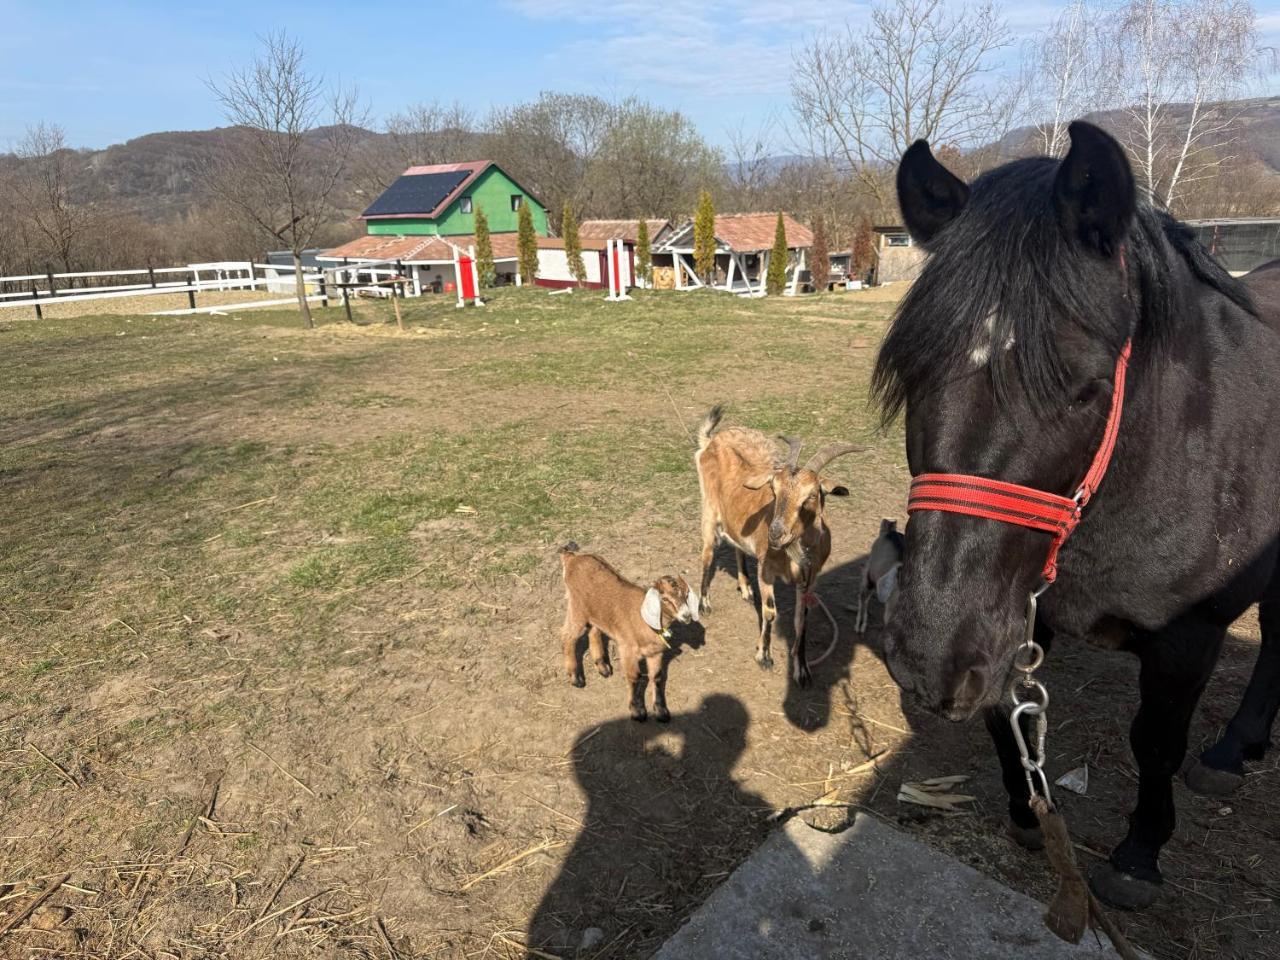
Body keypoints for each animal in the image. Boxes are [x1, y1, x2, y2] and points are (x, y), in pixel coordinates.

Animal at [875, 119, 1280, 911]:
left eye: (1088, 387)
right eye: (910, 370)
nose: (929, 655)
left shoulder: (1189, 636)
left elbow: (1155, 741)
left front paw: (1139, 854)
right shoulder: (1016, 614)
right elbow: (1009, 713)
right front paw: (1026, 812)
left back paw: (1227, 751)